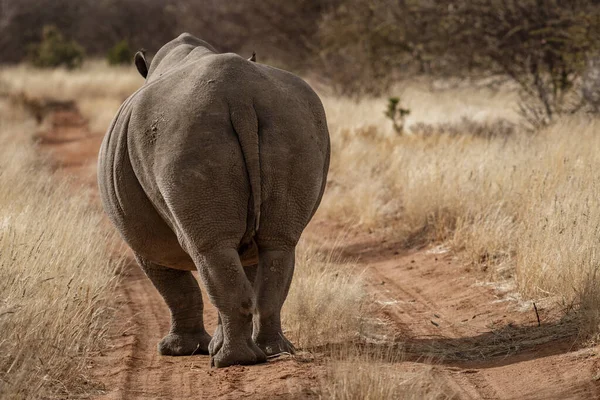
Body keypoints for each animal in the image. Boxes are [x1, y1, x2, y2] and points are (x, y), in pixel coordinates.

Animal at [97, 32, 328, 368]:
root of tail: (240, 93)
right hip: (293, 122)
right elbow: (239, 271)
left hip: (184, 132)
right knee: (278, 246)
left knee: (209, 251)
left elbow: (177, 289)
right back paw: (272, 351)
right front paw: (209, 345)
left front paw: (179, 350)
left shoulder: (142, 240)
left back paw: (231, 361)